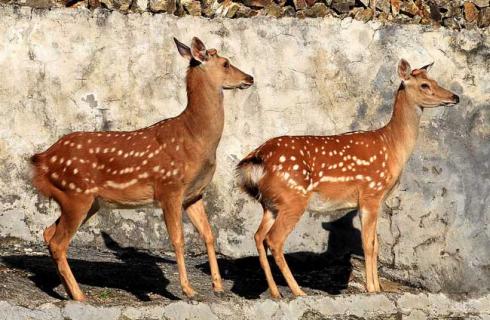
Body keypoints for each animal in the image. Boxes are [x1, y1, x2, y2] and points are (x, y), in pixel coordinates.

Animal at [31, 37, 253, 300]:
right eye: (226, 63)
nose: (250, 78)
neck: (195, 139)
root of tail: (42, 161)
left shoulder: (194, 194)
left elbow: (209, 235)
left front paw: (217, 286)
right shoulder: (169, 187)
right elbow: (178, 239)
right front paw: (187, 290)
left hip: (85, 200)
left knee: (48, 233)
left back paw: (69, 290)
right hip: (75, 193)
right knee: (58, 242)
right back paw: (79, 295)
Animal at [237, 59, 460, 298]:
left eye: (434, 80)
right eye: (425, 85)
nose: (455, 97)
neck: (392, 146)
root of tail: (256, 159)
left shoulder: (372, 201)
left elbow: (376, 244)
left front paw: (378, 288)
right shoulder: (371, 193)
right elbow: (369, 245)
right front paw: (372, 289)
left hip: (270, 204)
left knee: (258, 236)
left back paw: (276, 293)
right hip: (293, 199)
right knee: (274, 240)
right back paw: (298, 292)